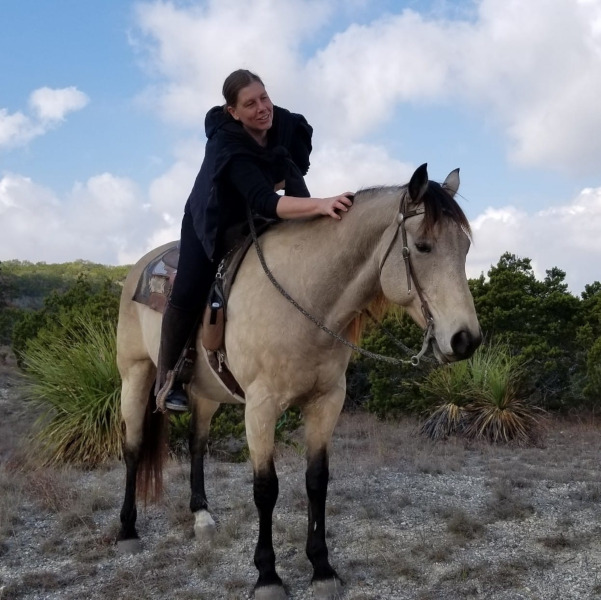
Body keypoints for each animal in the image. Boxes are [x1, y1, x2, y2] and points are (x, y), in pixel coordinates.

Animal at [116, 164, 482, 600]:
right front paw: (267, 575)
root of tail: (138, 267)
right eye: (423, 246)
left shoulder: (326, 402)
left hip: (206, 392)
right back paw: (126, 530)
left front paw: (322, 568)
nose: (465, 339)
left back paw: (202, 516)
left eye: (465, 248)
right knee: (134, 448)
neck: (305, 298)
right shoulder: (260, 408)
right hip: (135, 374)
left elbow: (316, 481)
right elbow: (265, 488)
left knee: (197, 444)